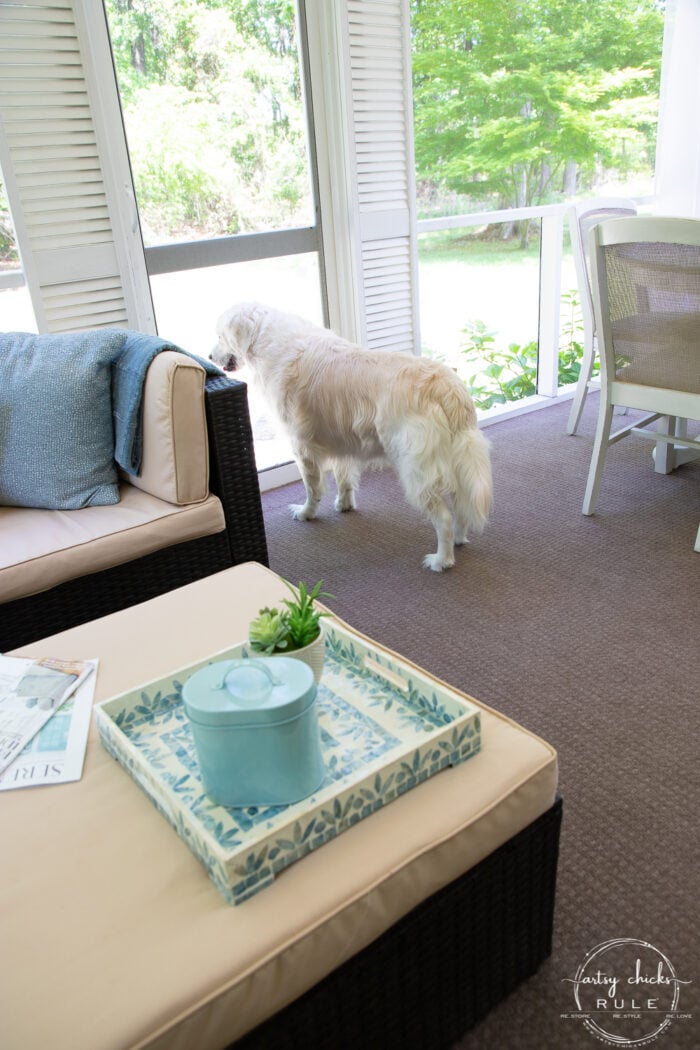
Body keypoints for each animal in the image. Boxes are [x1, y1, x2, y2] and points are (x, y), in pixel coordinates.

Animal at [214, 300, 493, 571]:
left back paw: (441, 560)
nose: (209, 356)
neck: (269, 340)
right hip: (458, 461)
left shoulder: (301, 445)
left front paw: (306, 513)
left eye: (219, 335)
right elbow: (344, 477)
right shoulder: (341, 438)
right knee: (461, 507)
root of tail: (447, 387)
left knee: (443, 518)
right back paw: (459, 539)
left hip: (417, 470)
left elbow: (312, 487)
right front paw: (344, 504)